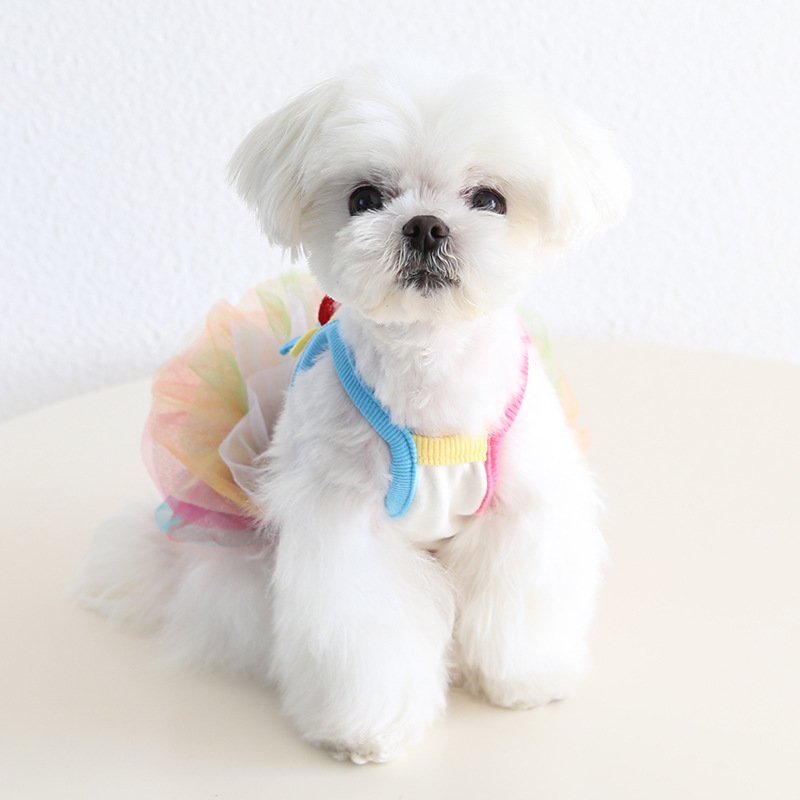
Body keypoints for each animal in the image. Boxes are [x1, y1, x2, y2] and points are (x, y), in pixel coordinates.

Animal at [80, 68, 630, 764]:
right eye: (364, 198)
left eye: (490, 199)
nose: (424, 226)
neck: (429, 372)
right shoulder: (345, 529)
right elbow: (367, 634)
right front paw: (368, 729)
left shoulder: (521, 511)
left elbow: (521, 602)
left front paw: (525, 679)